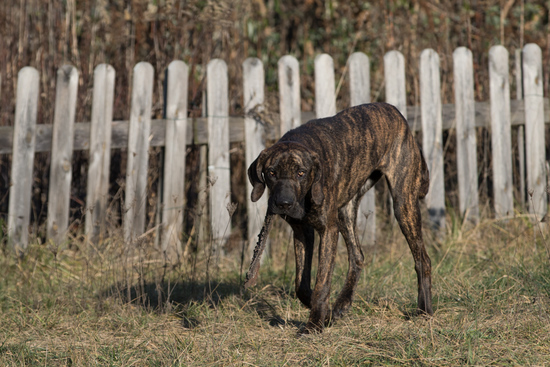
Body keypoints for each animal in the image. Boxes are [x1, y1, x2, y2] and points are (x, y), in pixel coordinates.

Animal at [247, 102, 436, 334]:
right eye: (271, 172)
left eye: (301, 173)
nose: (284, 203)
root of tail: (396, 112)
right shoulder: (302, 230)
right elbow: (301, 284)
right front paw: (325, 314)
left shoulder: (328, 230)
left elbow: (322, 283)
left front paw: (314, 324)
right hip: (345, 210)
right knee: (357, 256)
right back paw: (342, 304)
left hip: (403, 204)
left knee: (422, 259)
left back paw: (424, 310)